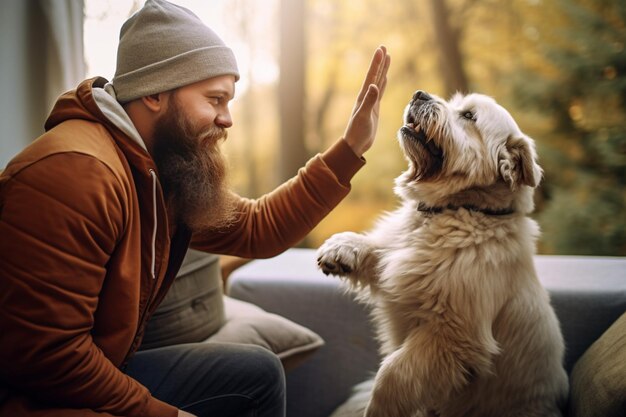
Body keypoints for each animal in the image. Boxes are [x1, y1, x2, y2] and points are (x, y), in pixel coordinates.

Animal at [316, 91, 564, 416]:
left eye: (469, 116)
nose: (419, 94)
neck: (455, 209)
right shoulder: (398, 262)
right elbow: (379, 248)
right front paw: (342, 248)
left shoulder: (451, 335)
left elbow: (393, 373)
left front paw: (380, 408)